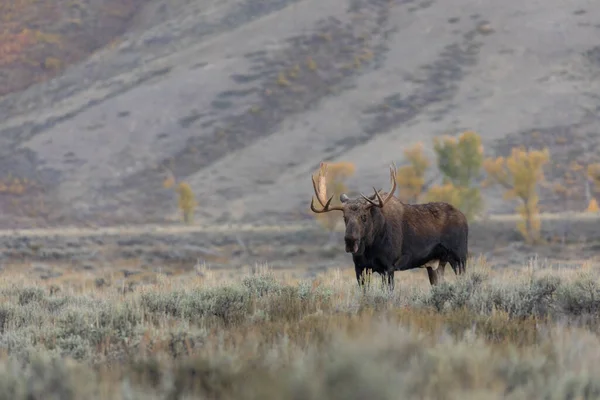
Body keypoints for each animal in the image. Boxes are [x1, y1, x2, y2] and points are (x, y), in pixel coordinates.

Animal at [310, 162, 468, 290]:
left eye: (364, 216)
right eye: (344, 217)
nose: (350, 241)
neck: (369, 247)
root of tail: (464, 217)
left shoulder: (388, 267)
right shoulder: (360, 268)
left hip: (459, 258)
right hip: (435, 264)